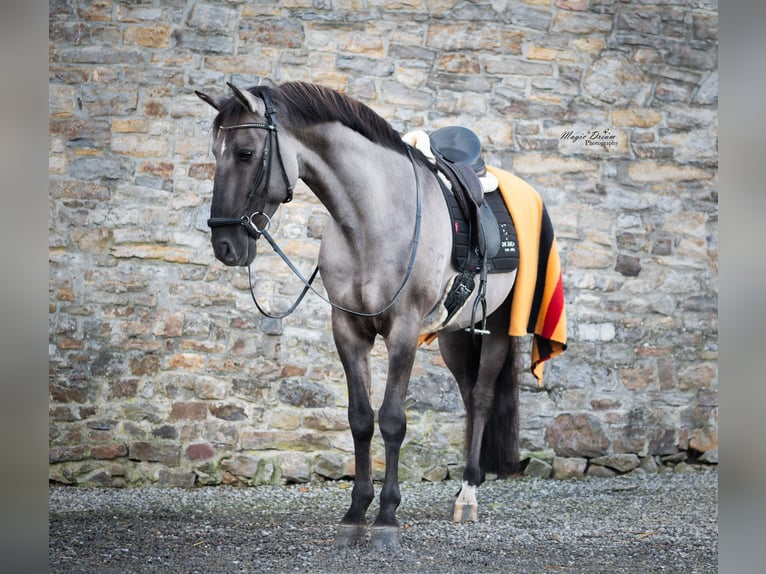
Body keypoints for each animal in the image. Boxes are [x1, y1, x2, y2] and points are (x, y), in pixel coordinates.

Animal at [195, 79, 544, 552]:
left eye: (246, 152)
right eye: (215, 152)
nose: (226, 245)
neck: (370, 220)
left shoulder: (404, 330)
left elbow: (392, 420)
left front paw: (387, 519)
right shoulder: (347, 329)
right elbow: (360, 420)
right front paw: (355, 514)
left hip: (499, 327)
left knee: (482, 396)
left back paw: (468, 494)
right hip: (454, 334)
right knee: (468, 394)